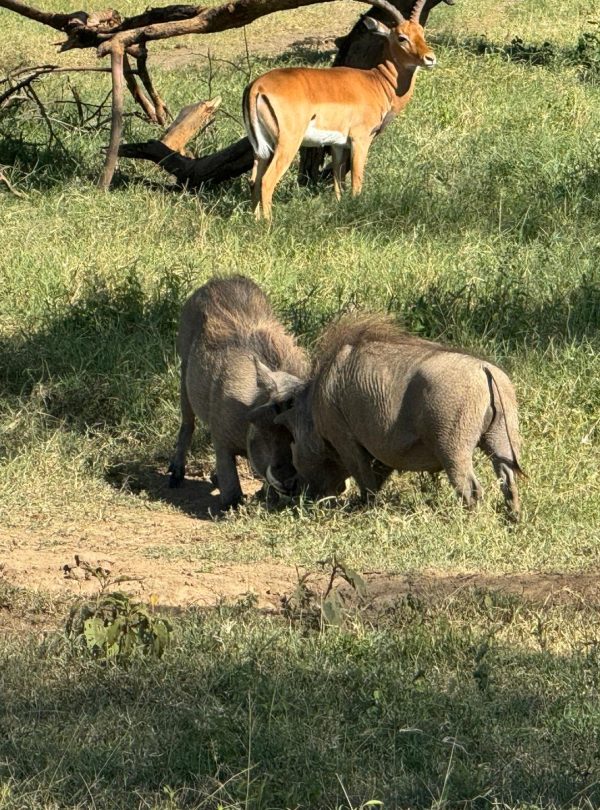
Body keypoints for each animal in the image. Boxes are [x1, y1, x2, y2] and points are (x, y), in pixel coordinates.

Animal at [242, 0, 436, 220]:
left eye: (421, 32)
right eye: (401, 37)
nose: (430, 58)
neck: (378, 82)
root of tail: (257, 87)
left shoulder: (337, 145)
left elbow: (338, 181)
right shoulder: (360, 140)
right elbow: (356, 181)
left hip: (262, 148)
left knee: (254, 180)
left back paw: (256, 220)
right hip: (287, 144)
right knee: (267, 180)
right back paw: (270, 223)